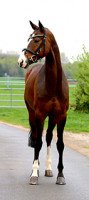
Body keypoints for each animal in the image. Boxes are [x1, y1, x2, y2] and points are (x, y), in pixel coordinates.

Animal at [17, 21, 69, 185]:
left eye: (36, 40)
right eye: (29, 38)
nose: (21, 61)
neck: (53, 85)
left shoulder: (61, 116)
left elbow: (60, 144)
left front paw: (60, 175)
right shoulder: (39, 115)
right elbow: (37, 143)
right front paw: (34, 174)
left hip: (52, 118)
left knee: (48, 138)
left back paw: (48, 169)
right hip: (32, 115)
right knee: (36, 138)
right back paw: (37, 167)